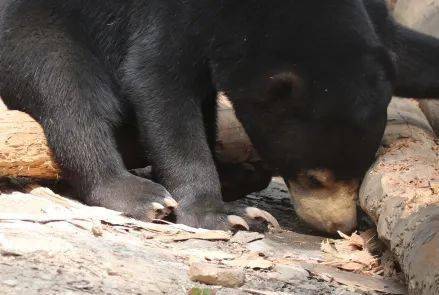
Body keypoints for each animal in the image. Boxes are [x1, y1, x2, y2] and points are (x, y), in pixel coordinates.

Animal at [0, 0, 438, 231]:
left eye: (362, 169)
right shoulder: (169, 15)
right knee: (68, 88)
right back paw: (140, 194)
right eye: (315, 177)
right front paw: (221, 215)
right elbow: (158, 81)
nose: (339, 226)